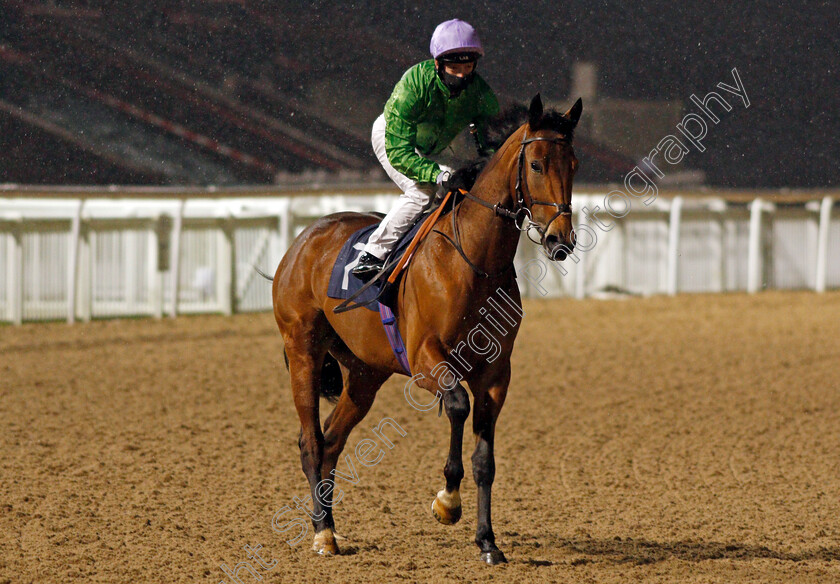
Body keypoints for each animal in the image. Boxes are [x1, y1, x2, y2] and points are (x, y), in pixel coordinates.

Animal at [272, 96, 580, 564]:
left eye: (574, 164)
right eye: (537, 164)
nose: (560, 239)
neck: (473, 260)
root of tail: (303, 240)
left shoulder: (495, 373)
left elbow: (485, 460)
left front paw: (487, 541)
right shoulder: (425, 360)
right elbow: (456, 406)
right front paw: (447, 501)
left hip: (365, 373)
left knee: (332, 443)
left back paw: (326, 523)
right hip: (303, 350)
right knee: (311, 443)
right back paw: (323, 533)